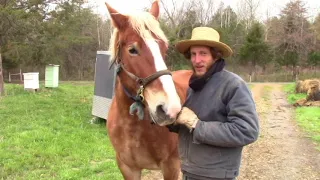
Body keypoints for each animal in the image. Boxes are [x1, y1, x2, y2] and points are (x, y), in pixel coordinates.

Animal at [104, 1, 191, 180]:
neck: (132, 126)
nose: (170, 109)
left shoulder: (171, 166)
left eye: (164, 48)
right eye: (132, 50)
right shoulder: (128, 168)